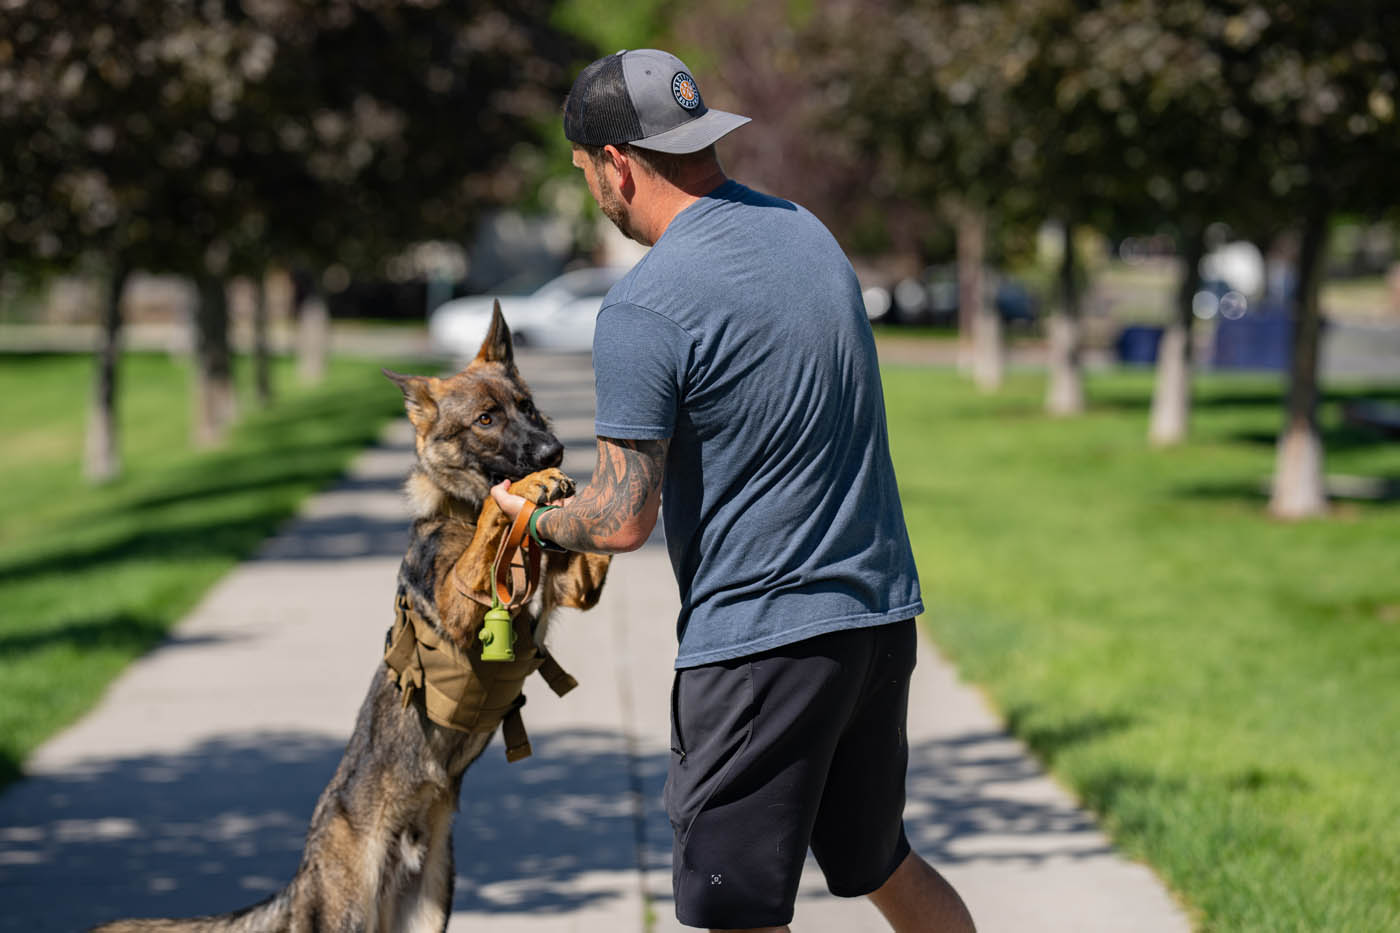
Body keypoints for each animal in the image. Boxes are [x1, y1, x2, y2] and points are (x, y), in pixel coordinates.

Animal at [91, 303, 607, 924]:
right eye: (486, 419)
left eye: (526, 407)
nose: (552, 452)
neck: (457, 507)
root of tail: (302, 873)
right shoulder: (462, 608)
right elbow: (492, 516)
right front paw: (527, 488)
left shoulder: (577, 588)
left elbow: (588, 559)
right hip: (348, 912)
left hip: (430, 907)